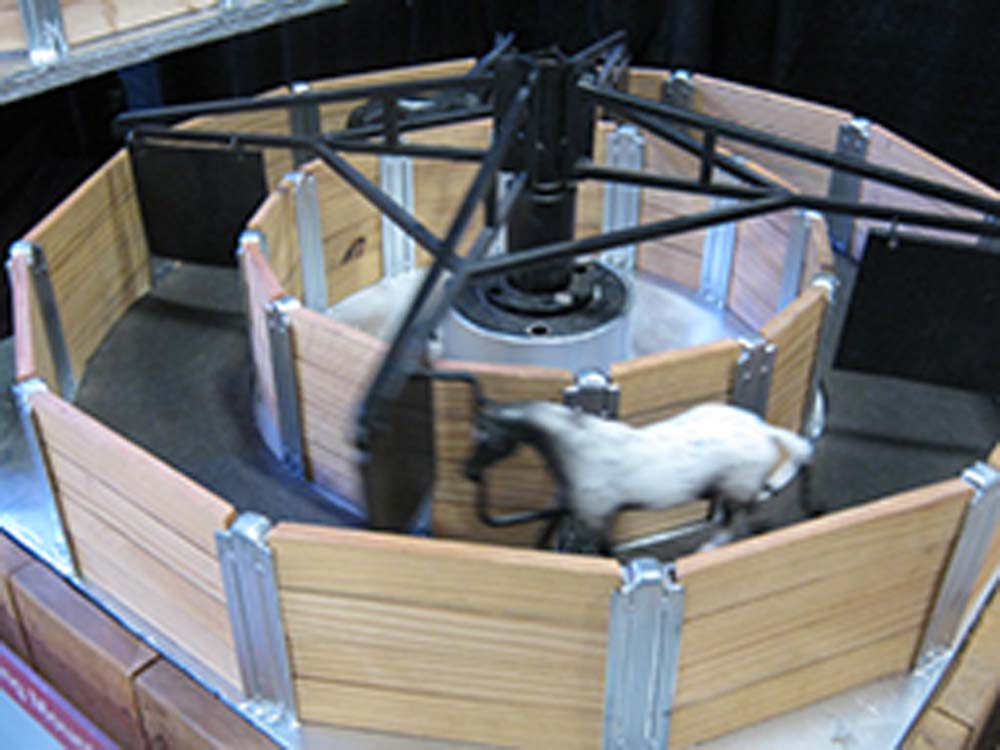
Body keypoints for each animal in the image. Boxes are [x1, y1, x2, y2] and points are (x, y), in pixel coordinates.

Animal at [464, 400, 813, 553]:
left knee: (742, 520)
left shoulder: (597, 516)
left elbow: (607, 551)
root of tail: (764, 430)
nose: (468, 472)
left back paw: (714, 546)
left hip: (736, 490)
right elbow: (547, 528)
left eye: (486, 437)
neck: (579, 448)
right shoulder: (571, 506)